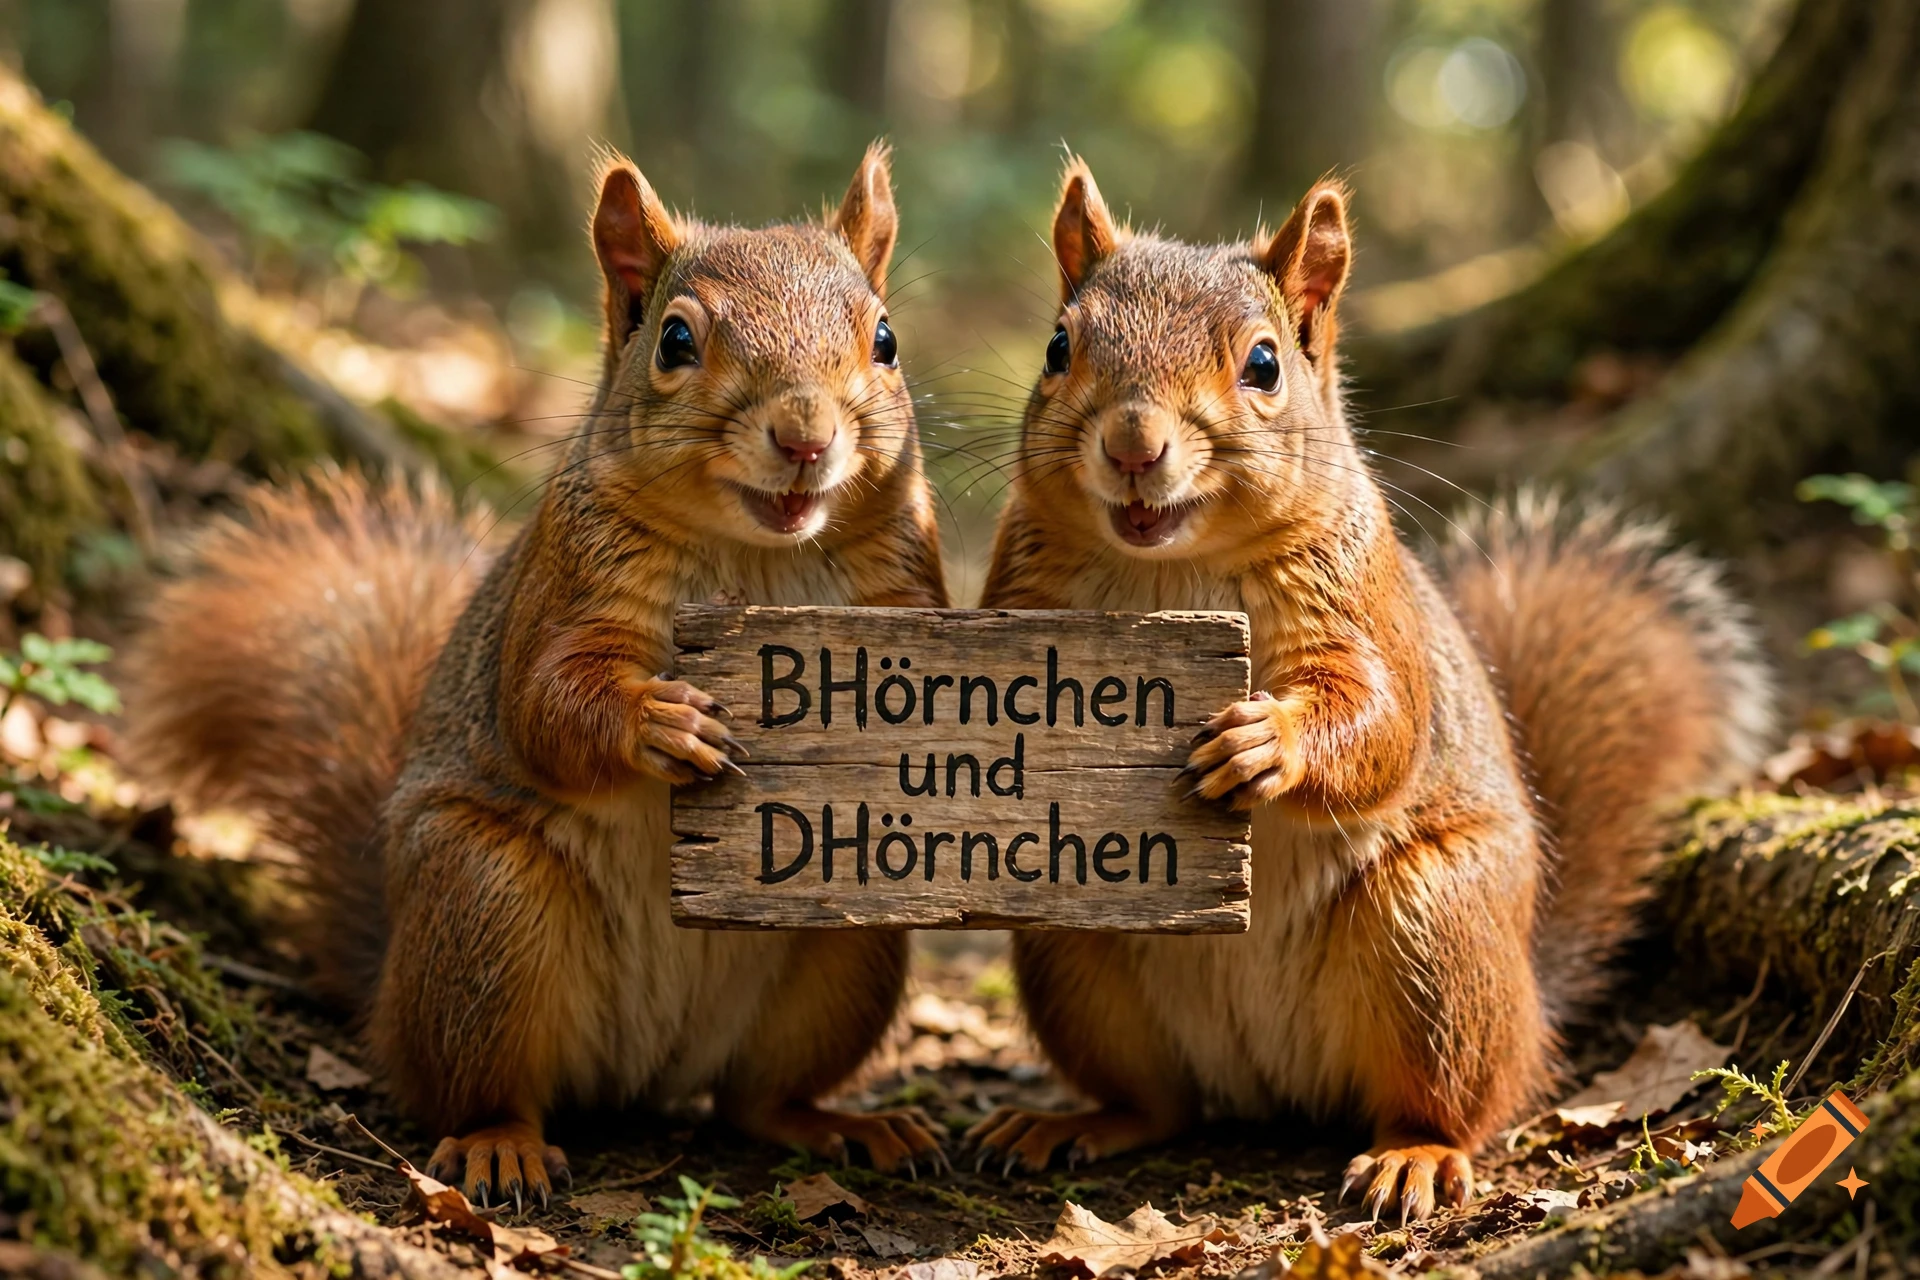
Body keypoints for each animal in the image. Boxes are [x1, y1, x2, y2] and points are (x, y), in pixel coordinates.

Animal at [124, 143, 951, 1210]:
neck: (760, 557)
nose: (805, 438)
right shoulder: (567, 590)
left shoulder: (909, 585)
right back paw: (499, 1146)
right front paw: (660, 723)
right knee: (474, 1088)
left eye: (885, 340)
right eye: (675, 341)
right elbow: (545, 706)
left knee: (756, 1101)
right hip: (484, 907)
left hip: (852, 947)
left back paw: (844, 1124)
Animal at [966, 160, 1775, 1223]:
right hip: (1072, 953)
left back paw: (1413, 1156)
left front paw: (1267, 743)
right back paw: (1072, 1123)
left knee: (1457, 1100)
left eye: (1265, 365)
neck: (1167, 568)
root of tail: (1268, 1079)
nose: (1133, 446)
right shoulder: (1020, 590)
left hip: (1434, 932)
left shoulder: (1360, 604)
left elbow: (1383, 725)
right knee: (1158, 1103)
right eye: (1059, 347)